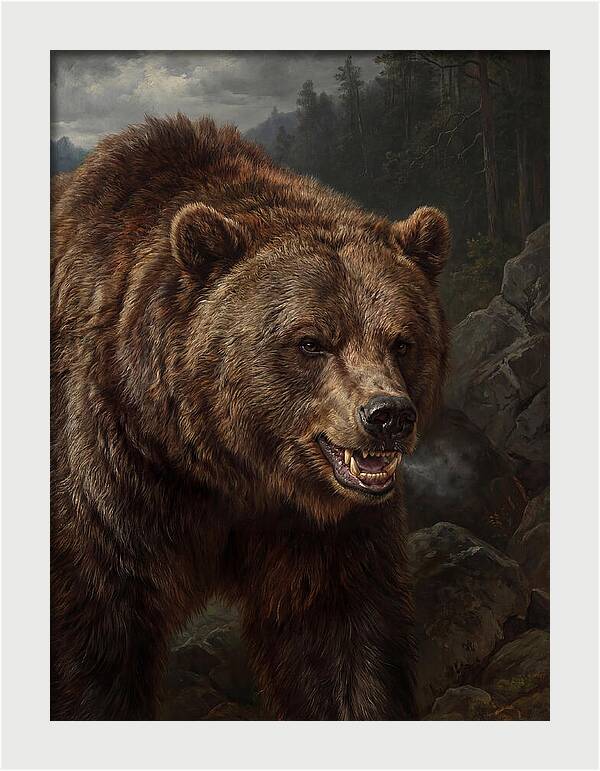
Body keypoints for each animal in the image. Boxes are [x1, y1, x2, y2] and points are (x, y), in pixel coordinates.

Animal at [51, 114, 450, 720]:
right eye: (311, 341)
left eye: (402, 341)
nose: (387, 416)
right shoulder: (109, 480)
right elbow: (93, 643)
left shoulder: (322, 531)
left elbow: (342, 645)